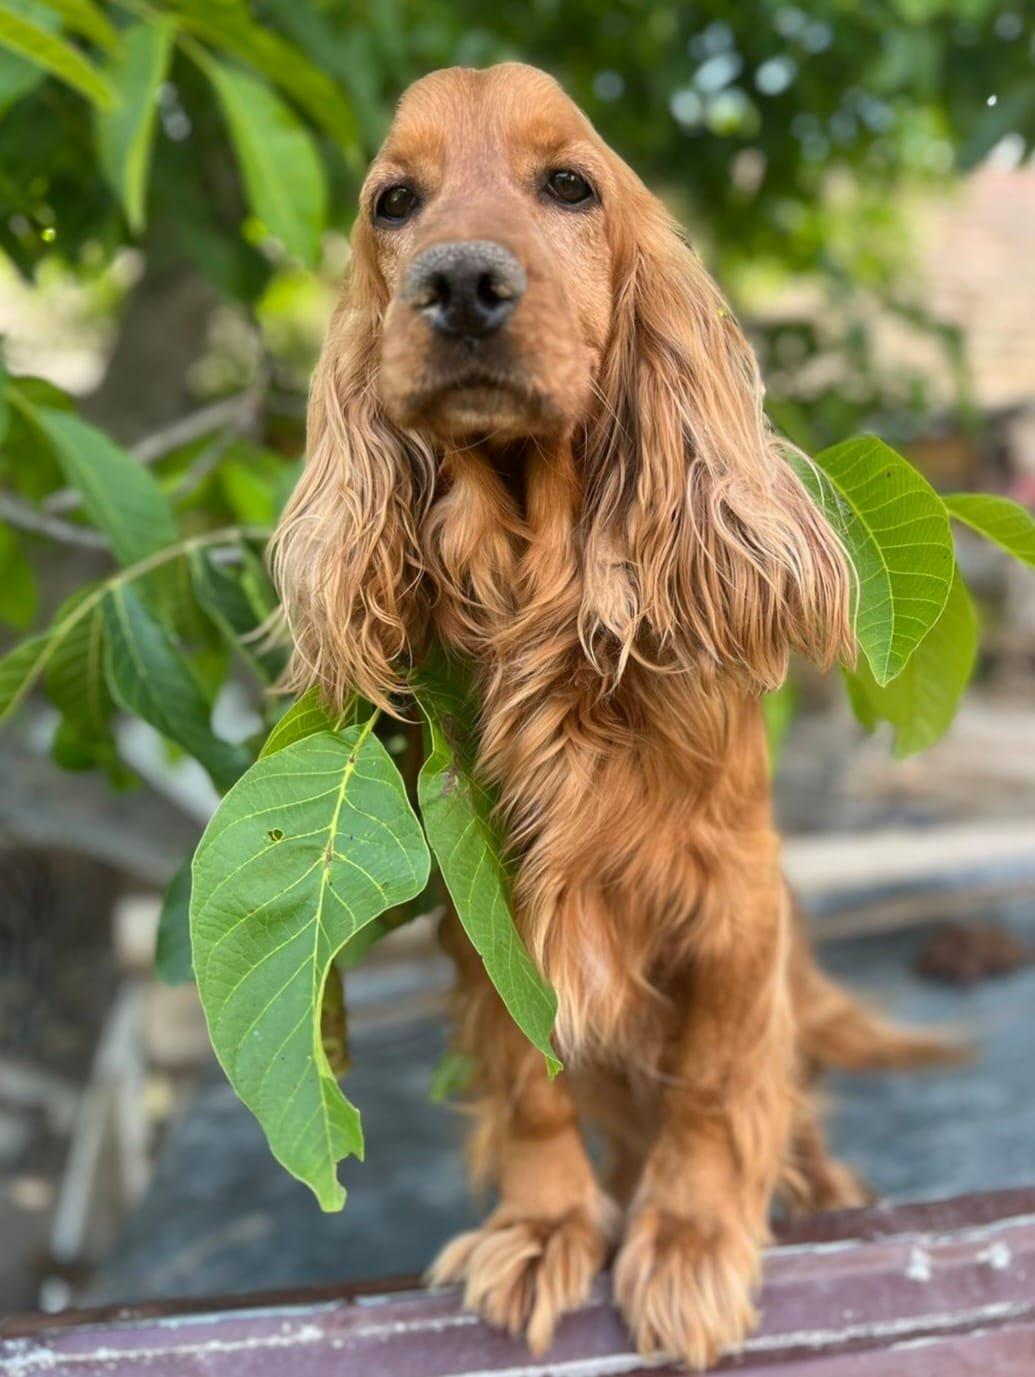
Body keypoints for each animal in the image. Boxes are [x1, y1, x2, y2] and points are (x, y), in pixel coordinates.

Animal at [275, 64, 952, 1377]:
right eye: (394, 202)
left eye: (570, 185)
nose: (461, 283)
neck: (536, 593)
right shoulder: (485, 913)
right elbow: (531, 1082)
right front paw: (545, 1228)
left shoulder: (732, 902)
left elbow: (717, 1086)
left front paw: (689, 1240)